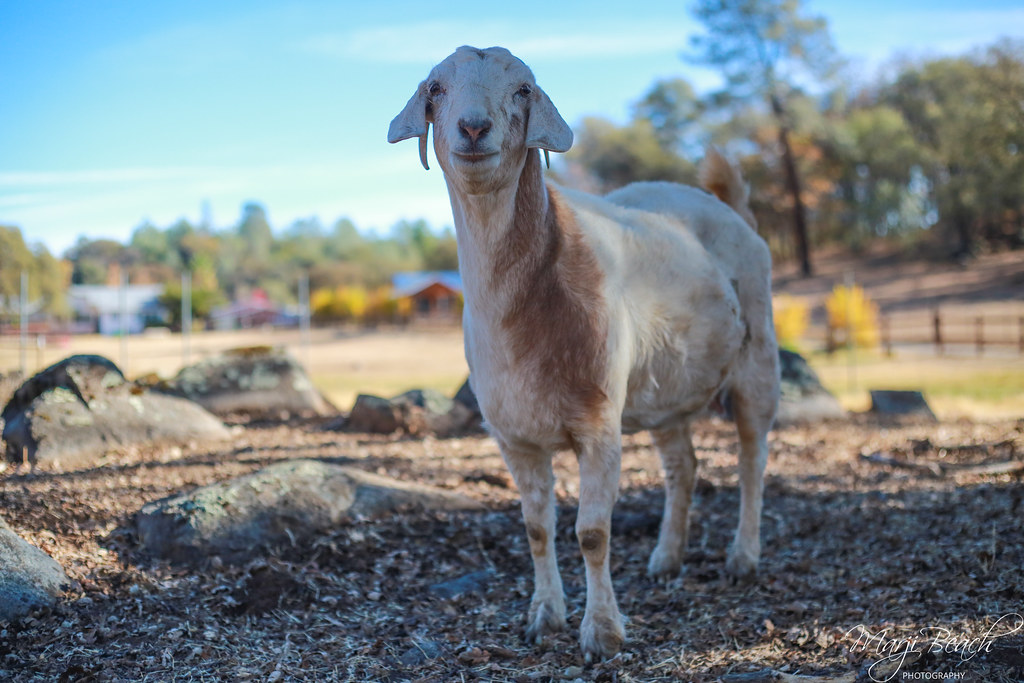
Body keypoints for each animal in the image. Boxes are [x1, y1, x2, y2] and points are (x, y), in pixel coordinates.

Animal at [389, 46, 779, 660]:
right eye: (435, 88)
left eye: (524, 89)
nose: (473, 128)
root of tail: (725, 204)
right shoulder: (513, 436)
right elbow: (536, 529)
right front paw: (543, 617)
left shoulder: (599, 423)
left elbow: (592, 533)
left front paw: (602, 633)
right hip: (665, 385)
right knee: (683, 466)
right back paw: (666, 558)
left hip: (758, 356)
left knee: (752, 458)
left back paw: (743, 557)